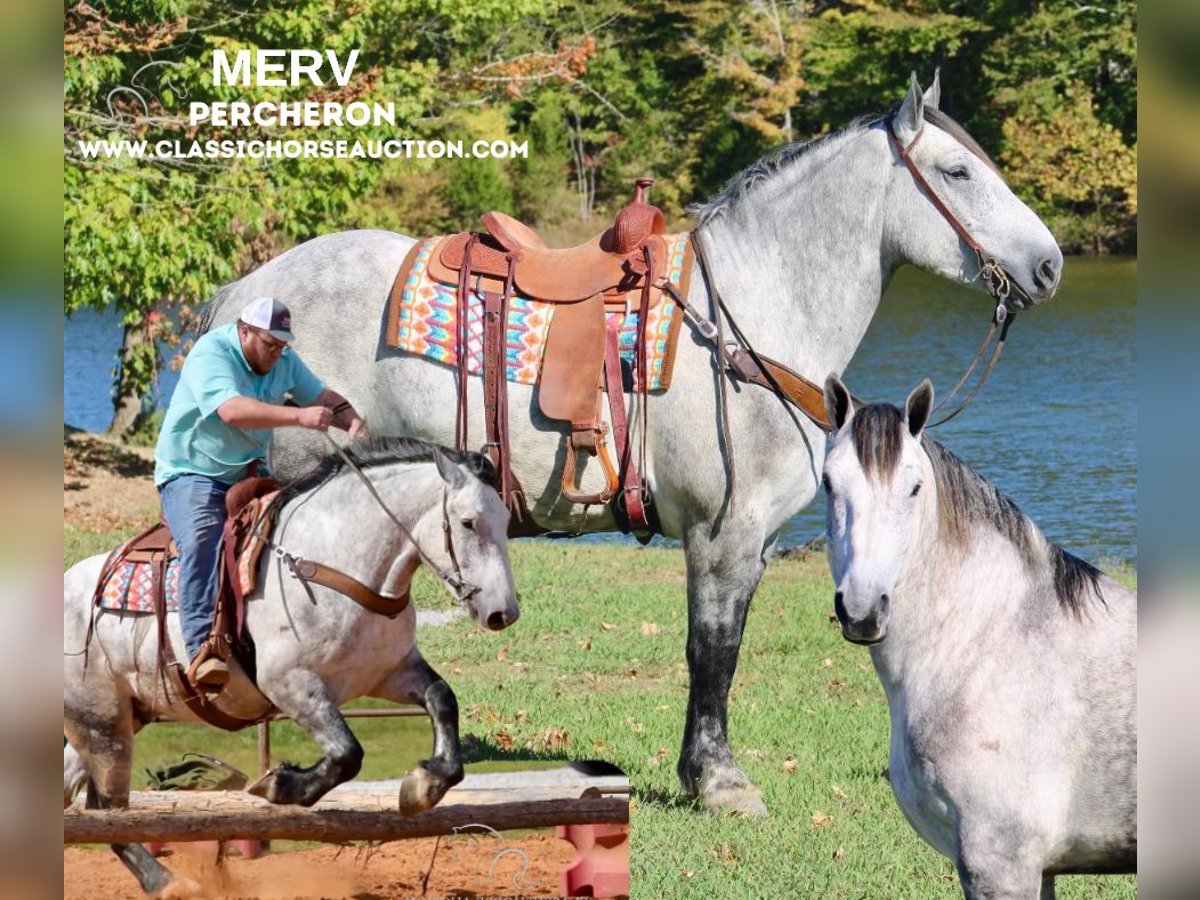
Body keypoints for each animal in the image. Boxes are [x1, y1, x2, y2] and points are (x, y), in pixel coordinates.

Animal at [65, 441, 516, 897]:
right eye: (468, 522)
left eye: (507, 520)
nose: (503, 613)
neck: (333, 561)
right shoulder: (290, 683)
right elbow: (347, 754)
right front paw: (281, 783)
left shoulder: (389, 671)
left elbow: (442, 699)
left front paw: (425, 784)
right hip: (103, 725)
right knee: (109, 812)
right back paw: (169, 883)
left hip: (118, 718)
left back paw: (160, 878)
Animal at [201, 72, 1065, 816]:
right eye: (957, 171)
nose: (1050, 265)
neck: (747, 314)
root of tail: (247, 291)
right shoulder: (724, 532)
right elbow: (713, 651)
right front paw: (720, 782)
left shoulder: (748, 541)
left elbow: (717, 650)